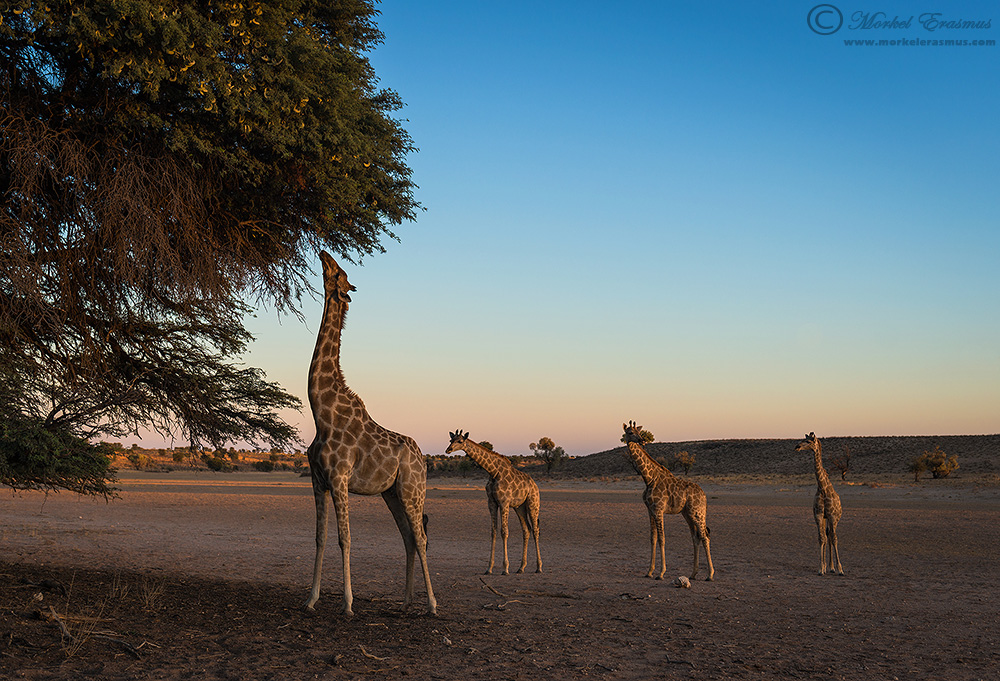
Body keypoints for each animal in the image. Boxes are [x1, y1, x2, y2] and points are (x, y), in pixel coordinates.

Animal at [304, 251, 436, 616]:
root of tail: (422, 458)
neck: (322, 413)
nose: (324, 252)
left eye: (338, 271)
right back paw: (406, 601)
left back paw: (433, 604)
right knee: (408, 537)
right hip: (392, 494)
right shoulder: (317, 480)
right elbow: (319, 538)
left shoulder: (339, 478)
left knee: (420, 537)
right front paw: (311, 599)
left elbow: (344, 538)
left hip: (413, 489)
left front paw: (348, 604)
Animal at [445, 430, 542, 575]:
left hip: (533, 503)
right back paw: (521, 567)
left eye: (460, 441)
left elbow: (504, 532)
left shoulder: (504, 502)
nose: (448, 450)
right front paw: (489, 568)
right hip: (519, 507)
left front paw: (505, 568)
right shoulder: (491, 503)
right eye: (451, 440)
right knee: (526, 530)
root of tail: (535, 485)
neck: (493, 472)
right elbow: (493, 531)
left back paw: (539, 567)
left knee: (535, 530)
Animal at [621, 421, 714, 581]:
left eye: (639, 432)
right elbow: (652, 538)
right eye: (630, 432)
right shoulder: (650, 510)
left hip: (697, 512)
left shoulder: (659, 510)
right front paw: (649, 571)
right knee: (695, 537)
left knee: (704, 536)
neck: (649, 478)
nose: (642, 440)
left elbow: (662, 539)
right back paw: (693, 574)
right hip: (687, 514)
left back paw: (710, 574)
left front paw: (661, 573)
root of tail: (704, 495)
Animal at [795, 432, 844, 575]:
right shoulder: (818, 515)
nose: (797, 446)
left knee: (832, 537)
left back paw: (833, 568)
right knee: (827, 536)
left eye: (809, 441)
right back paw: (829, 567)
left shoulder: (832, 516)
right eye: (804, 439)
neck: (823, 488)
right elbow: (821, 538)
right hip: (825, 518)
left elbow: (834, 538)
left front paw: (840, 569)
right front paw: (821, 568)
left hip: (835, 519)